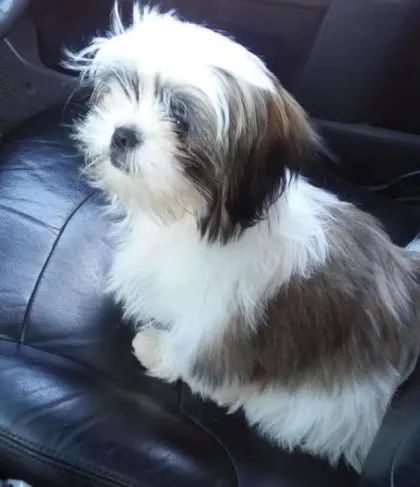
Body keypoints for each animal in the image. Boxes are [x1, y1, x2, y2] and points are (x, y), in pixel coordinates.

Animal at [66, 2, 420, 471]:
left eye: (180, 119)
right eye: (128, 87)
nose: (123, 134)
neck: (197, 219)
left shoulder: (222, 315)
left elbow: (196, 348)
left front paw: (158, 350)